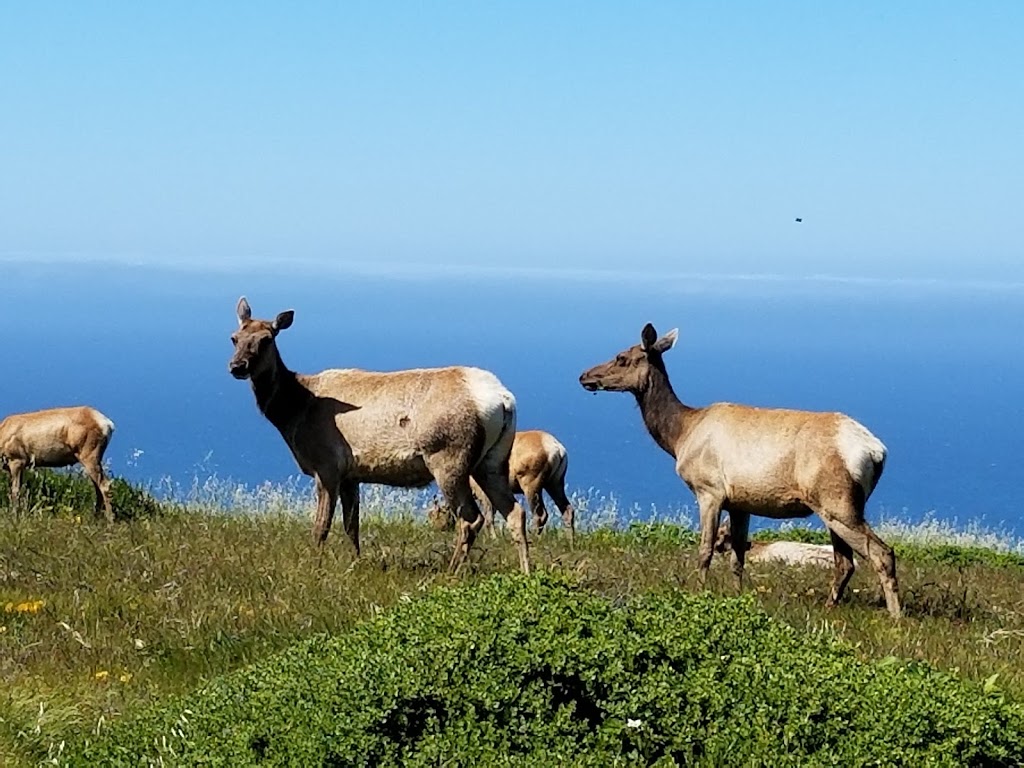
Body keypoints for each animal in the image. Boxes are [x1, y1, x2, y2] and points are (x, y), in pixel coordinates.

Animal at [229, 296, 532, 573]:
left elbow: (321, 526)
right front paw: (355, 563)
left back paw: (450, 573)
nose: (237, 366)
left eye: (267, 339)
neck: (294, 412)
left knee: (470, 518)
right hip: (492, 460)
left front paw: (313, 567)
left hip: (449, 457)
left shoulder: (326, 466)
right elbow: (351, 524)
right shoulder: (350, 474)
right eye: (234, 338)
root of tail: (504, 400)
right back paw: (526, 572)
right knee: (515, 512)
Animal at [581, 323, 901, 618]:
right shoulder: (741, 503)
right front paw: (737, 597)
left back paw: (895, 616)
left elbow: (705, 550)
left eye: (621, 357)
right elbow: (737, 558)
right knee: (845, 562)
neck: (680, 436)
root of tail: (876, 452)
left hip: (837, 500)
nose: (584, 376)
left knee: (882, 552)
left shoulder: (709, 490)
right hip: (836, 506)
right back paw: (829, 606)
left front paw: (699, 594)